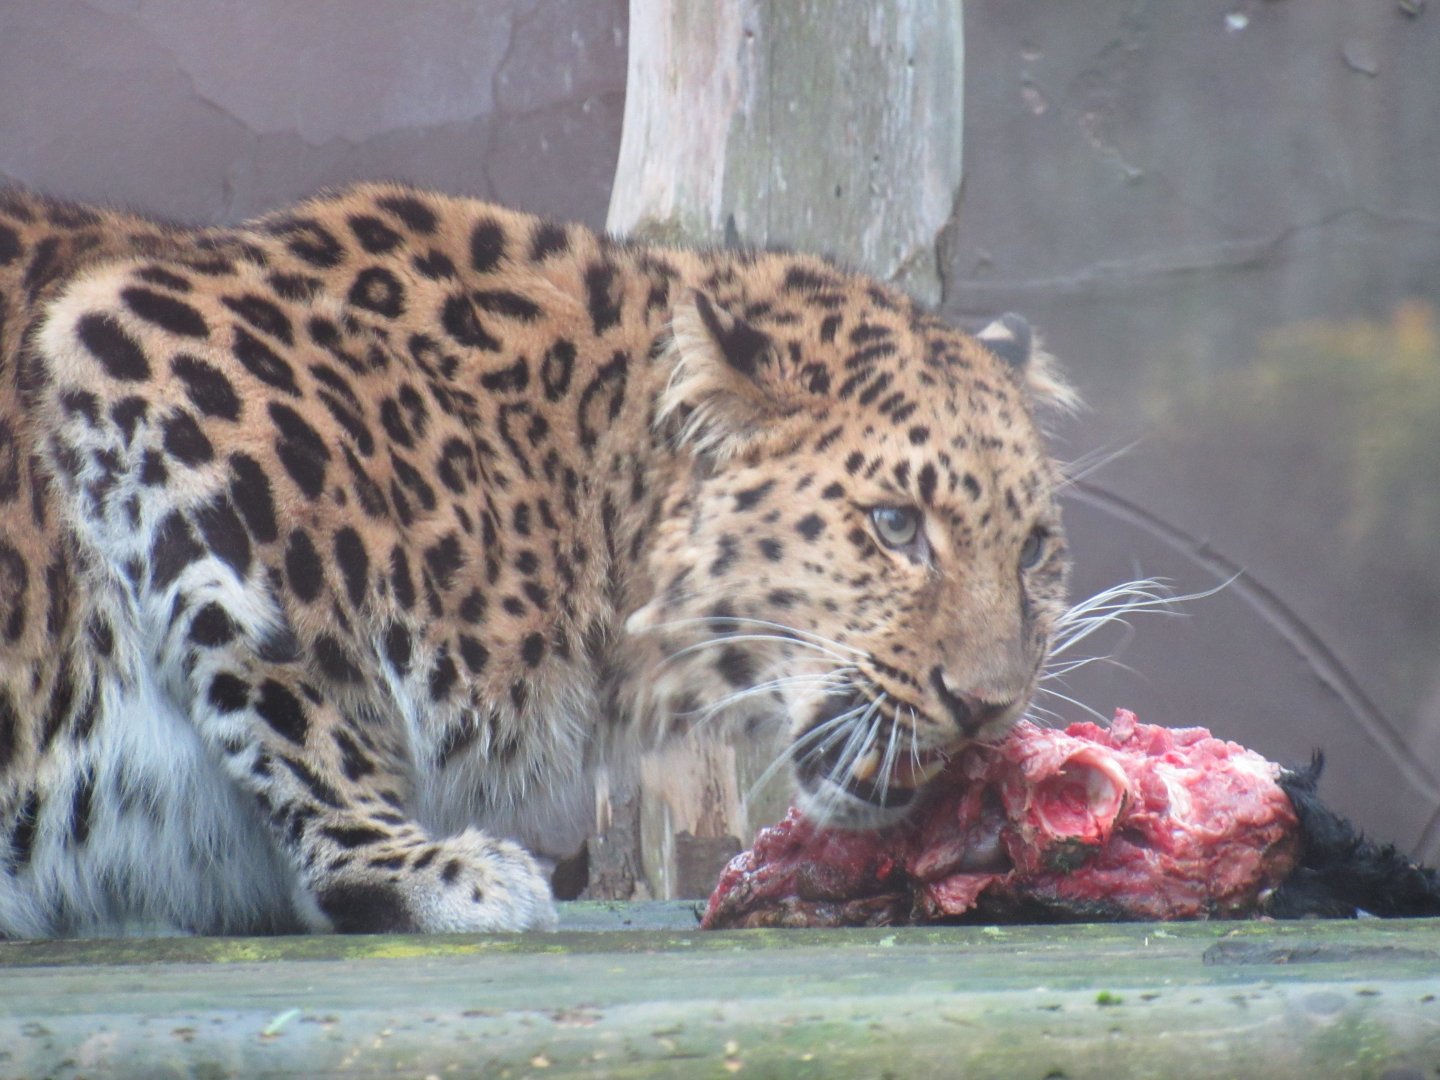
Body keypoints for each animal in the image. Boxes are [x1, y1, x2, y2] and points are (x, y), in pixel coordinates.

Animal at [0, 182, 1075, 937]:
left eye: (1033, 552)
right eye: (895, 525)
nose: (987, 707)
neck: (568, 477)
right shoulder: (137, 341)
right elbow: (299, 680)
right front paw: (416, 873)